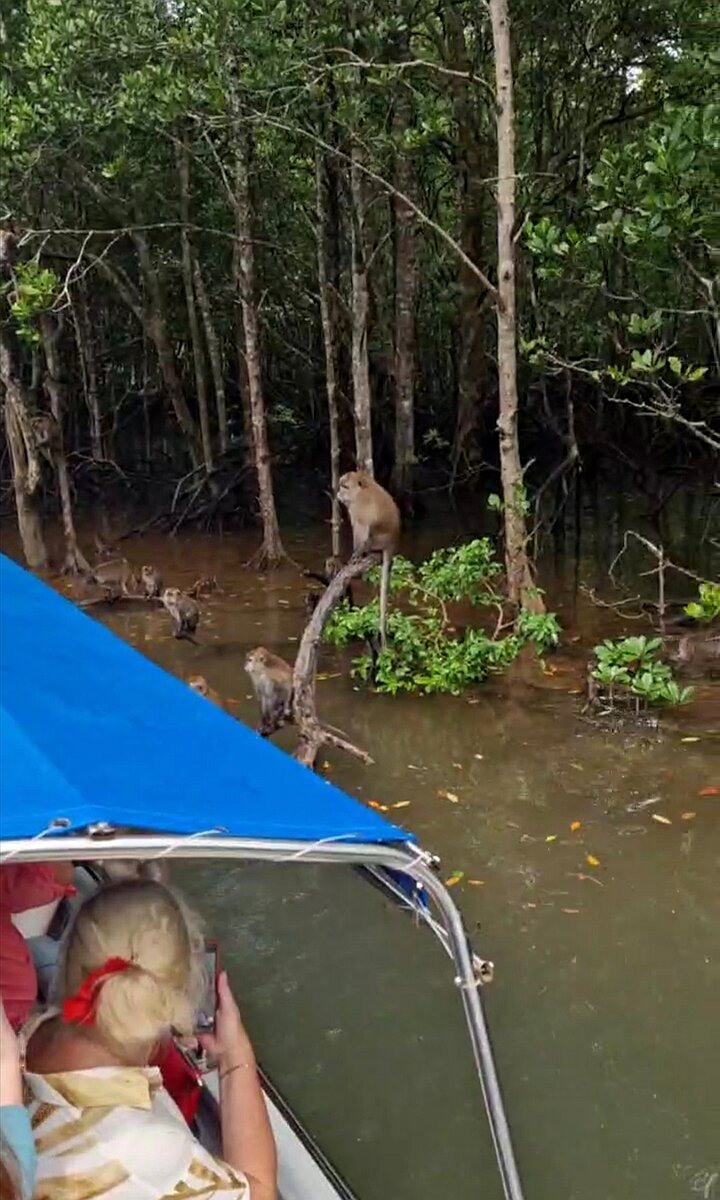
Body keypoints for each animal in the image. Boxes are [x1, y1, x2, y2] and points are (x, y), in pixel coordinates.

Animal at [336, 470, 398, 657]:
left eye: (344, 486)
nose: (338, 493)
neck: (361, 490)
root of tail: (392, 543)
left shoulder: (358, 507)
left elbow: (361, 530)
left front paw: (355, 555)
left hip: (377, 540)